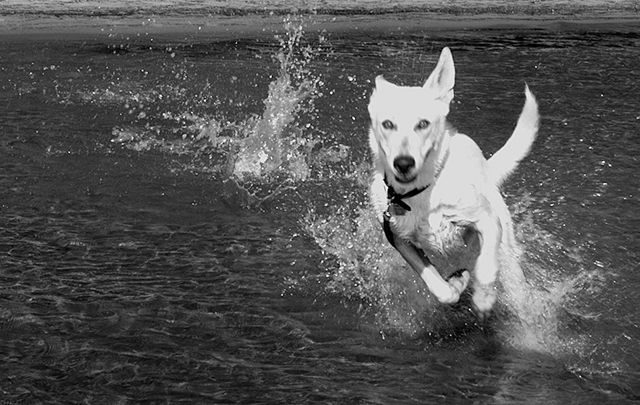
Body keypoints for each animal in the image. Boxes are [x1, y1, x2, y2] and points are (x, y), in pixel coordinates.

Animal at [368, 45, 536, 314]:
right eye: (388, 124)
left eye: (423, 124)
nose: (403, 163)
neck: (423, 192)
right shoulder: (400, 240)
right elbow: (438, 286)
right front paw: (457, 283)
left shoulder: (486, 219)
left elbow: (486, 265)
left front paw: (483, 297)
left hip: (509, 259)